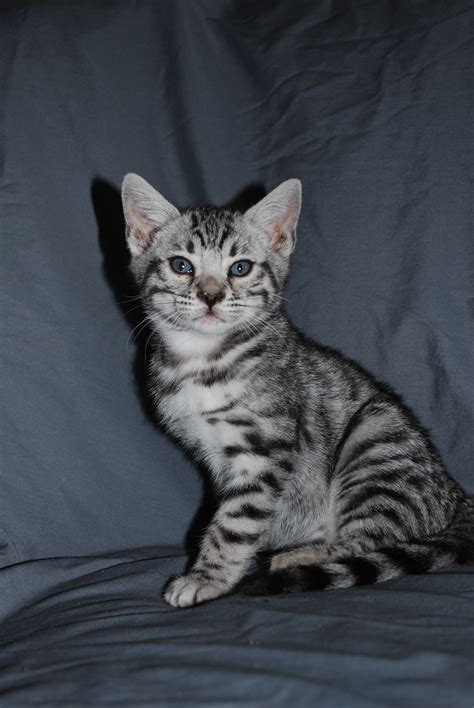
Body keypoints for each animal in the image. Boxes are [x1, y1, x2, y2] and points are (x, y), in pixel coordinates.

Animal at [121, 173, 470, 608]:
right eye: (181, 265)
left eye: (240, 268)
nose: (211, 296)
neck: (205, 359)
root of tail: (456, 495)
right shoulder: (220, 459)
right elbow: (235, 514)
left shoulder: (263, 452)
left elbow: (235, 523)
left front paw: (208, 577)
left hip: (374, 438)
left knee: (373, 541)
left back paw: (297, 557)